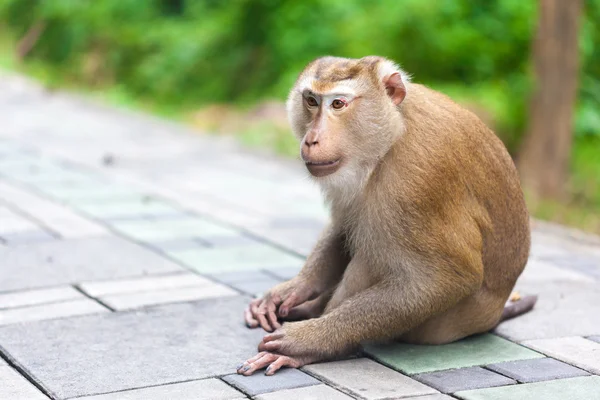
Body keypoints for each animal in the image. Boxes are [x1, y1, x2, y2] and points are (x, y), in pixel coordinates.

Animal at [236, 55, 536, 376]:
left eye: (338, 104)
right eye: (312, 101)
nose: (311, 140)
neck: (392, 136)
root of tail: (492, 317)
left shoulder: (416, 182)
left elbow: (444, 278)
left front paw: (308, 342)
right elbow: (344, 224)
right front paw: (294, 289)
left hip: (450, 323)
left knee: (373, 251)